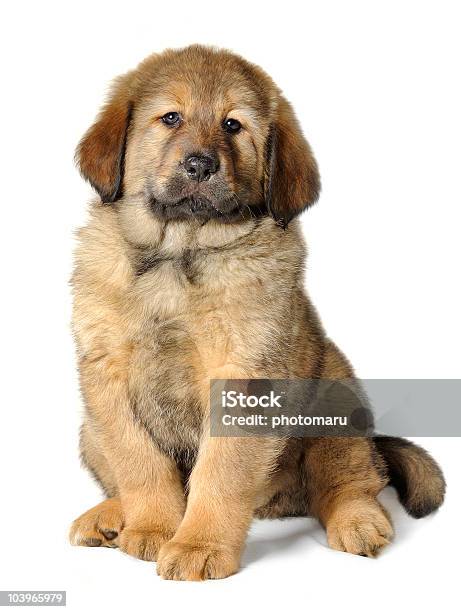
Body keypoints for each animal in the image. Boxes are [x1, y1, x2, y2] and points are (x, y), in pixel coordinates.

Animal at [70, 45, 444, 580]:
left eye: (233, 125)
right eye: (170, 117)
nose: (200, 165)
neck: (179, 254)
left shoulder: (244, 375)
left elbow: (220, 472)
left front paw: (198, 545)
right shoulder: (107, 375)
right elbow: (139, 461)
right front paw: (155, 528)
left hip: (336, 400)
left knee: (350, 481)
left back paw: (358, 522)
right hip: (88, 428)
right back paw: (108, 516)